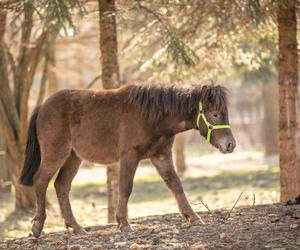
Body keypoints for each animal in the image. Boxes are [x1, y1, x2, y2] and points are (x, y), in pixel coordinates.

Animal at [19, 83, 237, 236]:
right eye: (214, 113)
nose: (230, 145)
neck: (151, 116)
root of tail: (43, 106)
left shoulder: (161, 156)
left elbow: (175, 184)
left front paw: (193, 217)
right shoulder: (129, 156)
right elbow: (125, 187)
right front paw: (123, 223)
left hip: (73, 157)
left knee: (61, 186)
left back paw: (77, 227)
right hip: (56, 154)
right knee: (41, 181)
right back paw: (38, 226)